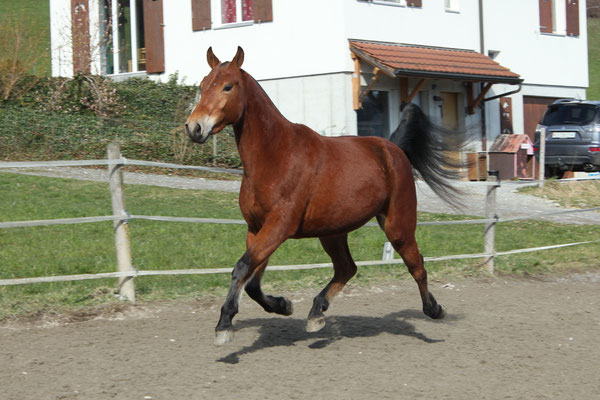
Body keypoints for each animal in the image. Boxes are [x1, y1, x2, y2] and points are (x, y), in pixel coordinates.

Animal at [186, 47, 464, 346]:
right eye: (202, 85)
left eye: (228, 86)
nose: (194, 127)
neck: (276, 155)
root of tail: (393, 149)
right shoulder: (257, 228)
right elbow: (252, 281)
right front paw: (283, 305)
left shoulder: (279, 226)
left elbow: (242, 267)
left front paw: (224, 325)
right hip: (332, 232)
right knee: (347, 268)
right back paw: (316, 313)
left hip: (397, 226)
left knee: (416, 264)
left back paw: (434, 310)